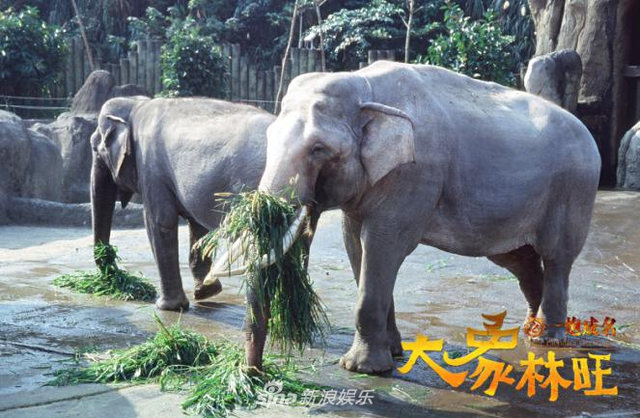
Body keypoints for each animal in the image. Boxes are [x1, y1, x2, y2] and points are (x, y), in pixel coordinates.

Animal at [91, 96, 274, 311]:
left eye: (95, 148)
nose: (113, 271)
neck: (137, 104)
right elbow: (198, 227)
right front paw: (206, 292)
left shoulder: (151, 167)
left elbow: (159, 222)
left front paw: (167, 307)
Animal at [209, 61, 601, 373]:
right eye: (270, 136)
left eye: (318, 149)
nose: (254, 371)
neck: (363, 86)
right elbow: (356, 247)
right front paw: (394, 352)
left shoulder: (414, 174)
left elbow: (382, 245)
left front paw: (362, 369)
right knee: (519, 260)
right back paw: (529, 331)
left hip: (574, 190)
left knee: (557, 258)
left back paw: (548, 341)